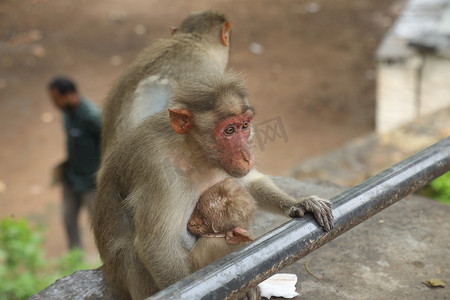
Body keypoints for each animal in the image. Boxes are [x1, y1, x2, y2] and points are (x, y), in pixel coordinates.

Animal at [93, 71, 332, 300]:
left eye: (245, 125)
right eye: (229, 131)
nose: (247, 156)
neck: (192, 154)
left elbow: (248, 182)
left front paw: (300, 203)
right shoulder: (159, 172)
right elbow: (157, 247)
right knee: (131, 253)